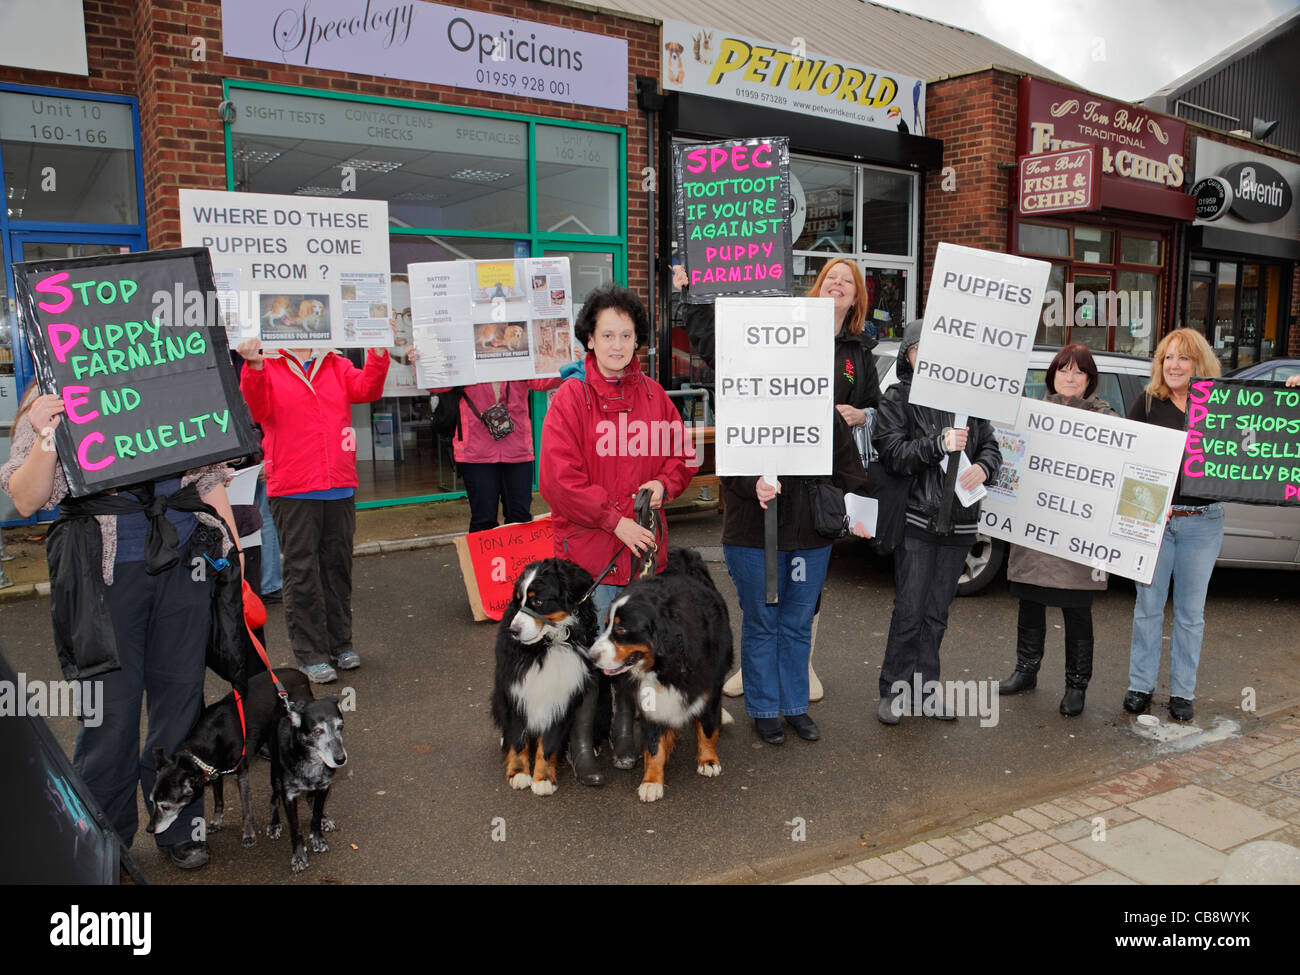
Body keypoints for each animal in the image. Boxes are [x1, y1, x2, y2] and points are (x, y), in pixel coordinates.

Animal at [491, 561, 598, 795]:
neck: (547, 645)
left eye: (538, 601)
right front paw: (518, 773)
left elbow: (548, 743)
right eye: (517, 600)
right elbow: (518, 737)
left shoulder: (562, 695)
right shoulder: (517, 690)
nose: (513, 630)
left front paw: (543, 778)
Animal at [587, 551, 733, 800]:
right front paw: (652, 780)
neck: (664, 665)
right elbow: (654, 742)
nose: (591, 656)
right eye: (605, 626)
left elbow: (706, 726)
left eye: (622, 630)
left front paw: (708, 760)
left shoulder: (709, 685)